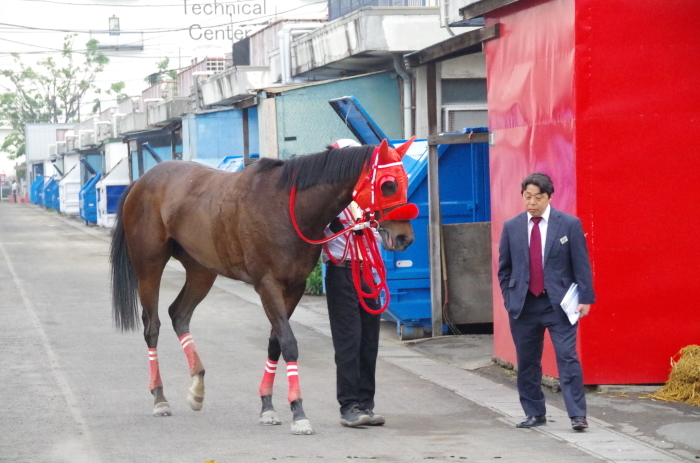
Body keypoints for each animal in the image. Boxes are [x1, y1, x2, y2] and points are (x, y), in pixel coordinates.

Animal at [109, 140, 416, 436]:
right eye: (388, 184)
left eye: (405, 181)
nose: (405, 237)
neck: (288, 209)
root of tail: (140, 181)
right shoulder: (267, 284)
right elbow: (289, 343)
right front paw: (299, 413)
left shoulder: (294, 286)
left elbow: (275, 343)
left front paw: (268, 407)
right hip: (149, 264)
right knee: (152, 325)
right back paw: (159, 398)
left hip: (201, 268)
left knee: (179, 314)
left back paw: (197, 385)